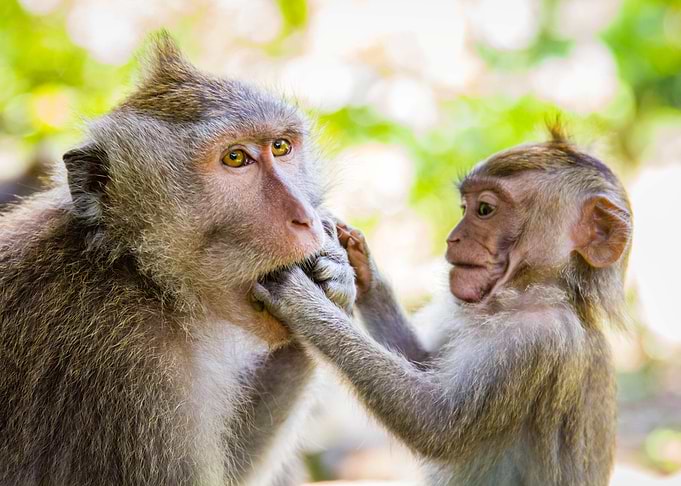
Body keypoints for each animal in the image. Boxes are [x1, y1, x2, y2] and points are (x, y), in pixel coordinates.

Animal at [0, 33, 356, 486]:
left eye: (281, 147)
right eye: (235, 158)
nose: (306, 218)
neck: (137, 271)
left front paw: (335, 278)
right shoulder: (134, 369)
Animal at [253, 129, 632, 486]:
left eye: (484, 210)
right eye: (464, 208)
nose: (453, 237)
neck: (533, 289)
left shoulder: (534, 338)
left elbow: (435, 423)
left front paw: (301, 299)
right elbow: (423, 361)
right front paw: (359, 264)